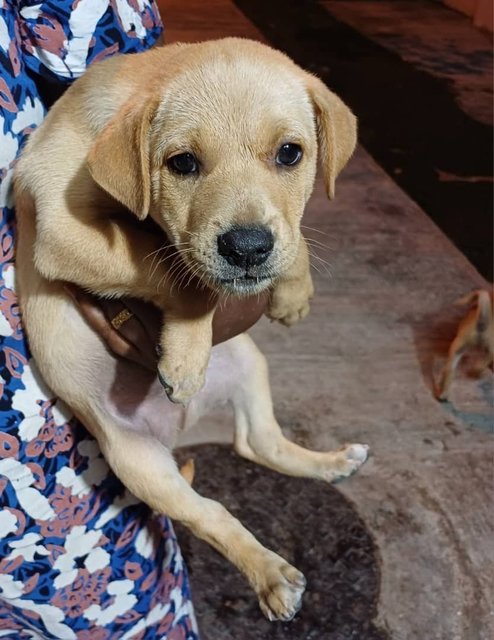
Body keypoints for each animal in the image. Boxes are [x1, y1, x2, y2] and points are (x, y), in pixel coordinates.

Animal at [15, 38, 368, 620]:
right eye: (182, 163)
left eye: (290, 154)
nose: (247, 249)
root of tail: (182, 427)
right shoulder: (61, 230)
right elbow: (176, 272)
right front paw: (182, 357)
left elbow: (290, 232)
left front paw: (294, 289)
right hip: (137, 460)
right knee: (212, 513)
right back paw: (270, 575)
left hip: (247, 362)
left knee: (257, 442)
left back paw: (332, 463)